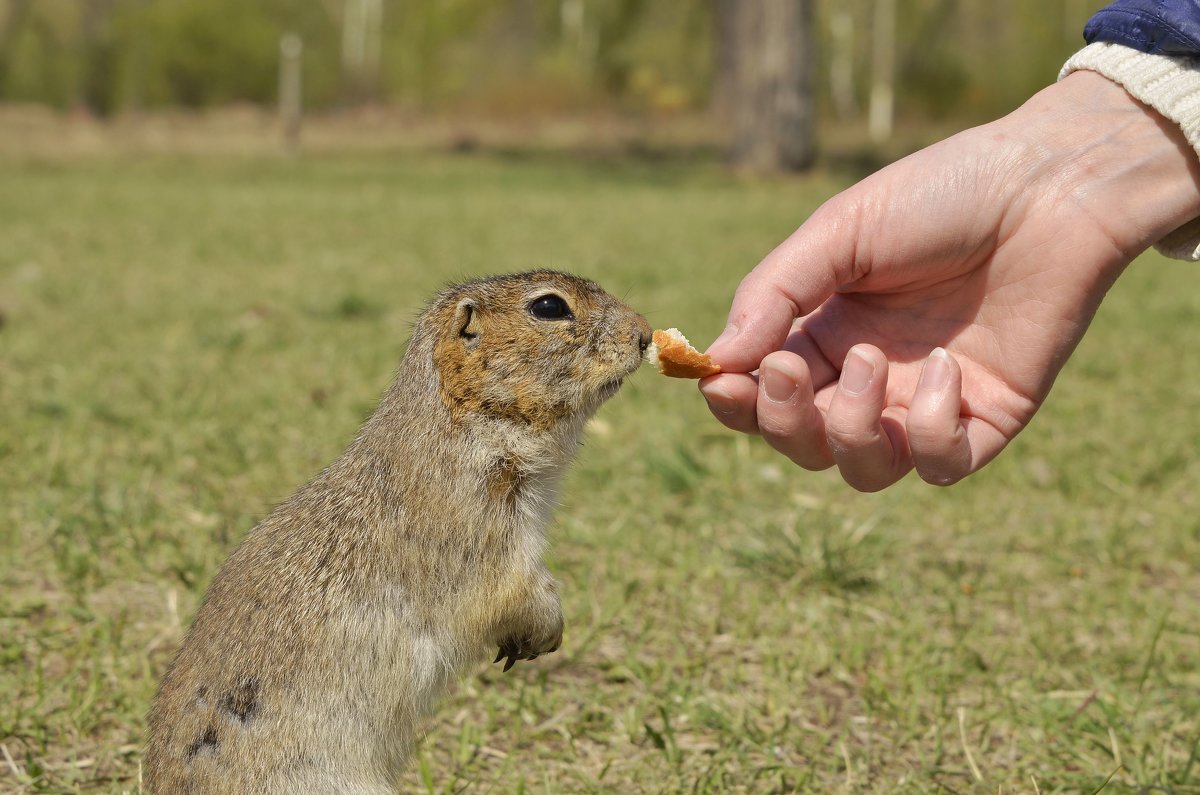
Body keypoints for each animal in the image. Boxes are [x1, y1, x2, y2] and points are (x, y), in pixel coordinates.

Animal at [144, 271, 652, 792]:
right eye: (549, 307)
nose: (645, 333)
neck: (466, 425)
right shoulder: (472, 526)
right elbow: (510, 585)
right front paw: (545, 630)